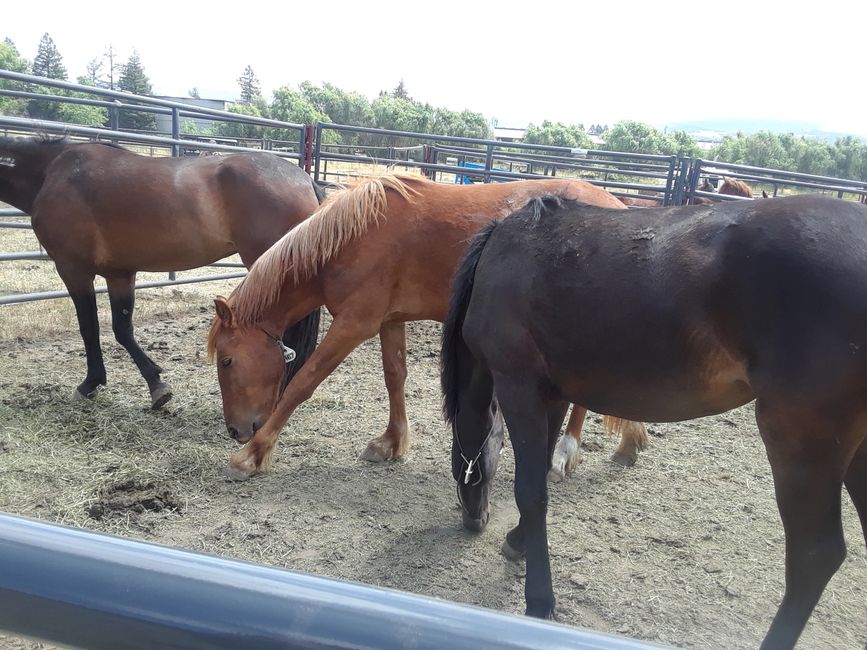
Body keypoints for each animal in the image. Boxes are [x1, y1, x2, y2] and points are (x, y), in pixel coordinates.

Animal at [0, 135, 323, 408]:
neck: (52, 173)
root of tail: (304, 179)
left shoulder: (73, 269)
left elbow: (89, 328)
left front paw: (90, 383)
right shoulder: (119, 274)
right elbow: (122, 329)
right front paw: (155, 384)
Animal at [206, 174, 647, 480]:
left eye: (226, 361)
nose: (235, 430)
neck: (352, 235)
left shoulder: (354, 324)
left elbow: (303, 383)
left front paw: (252, 455)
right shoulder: (388, 321)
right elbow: (394, 377)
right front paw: (390, 442)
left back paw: (565, 454)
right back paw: (628, 441)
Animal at [440, 194, 867, 649]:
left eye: (461, 458)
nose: (473, 519)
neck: (500, 258)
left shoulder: (519, 387)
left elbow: (530, 492)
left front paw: (540, 601)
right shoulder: (550, 394)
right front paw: (519, 540)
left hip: (800, 442)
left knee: (814, 556)